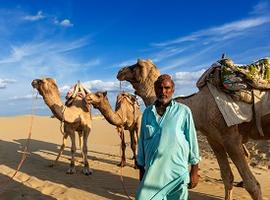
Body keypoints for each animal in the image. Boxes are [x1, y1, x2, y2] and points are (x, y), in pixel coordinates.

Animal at [116, 59, 270, 200]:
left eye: (137, 65)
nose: (120, 71)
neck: (201, 107)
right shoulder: (214, 139)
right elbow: (227, 177)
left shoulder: (230, 137)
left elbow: (253, 185)